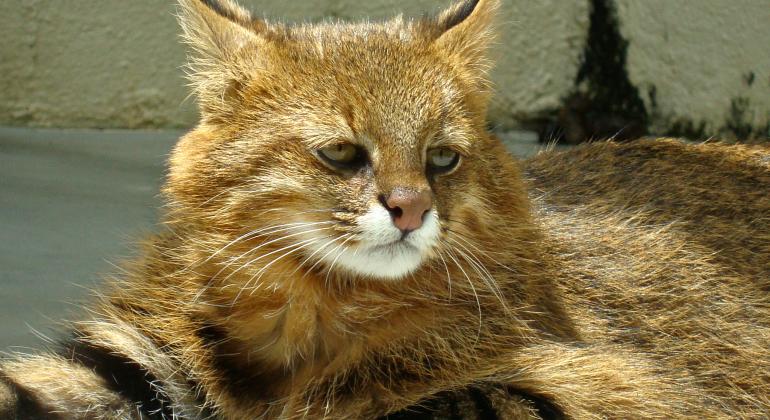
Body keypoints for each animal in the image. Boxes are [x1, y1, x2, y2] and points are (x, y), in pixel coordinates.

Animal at [1, 0, 768, 418]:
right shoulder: (137, 355)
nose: (411, 209)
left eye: (442, 158)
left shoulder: (616, 389)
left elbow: (428, 404)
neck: (318, 308)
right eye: (342, 153)